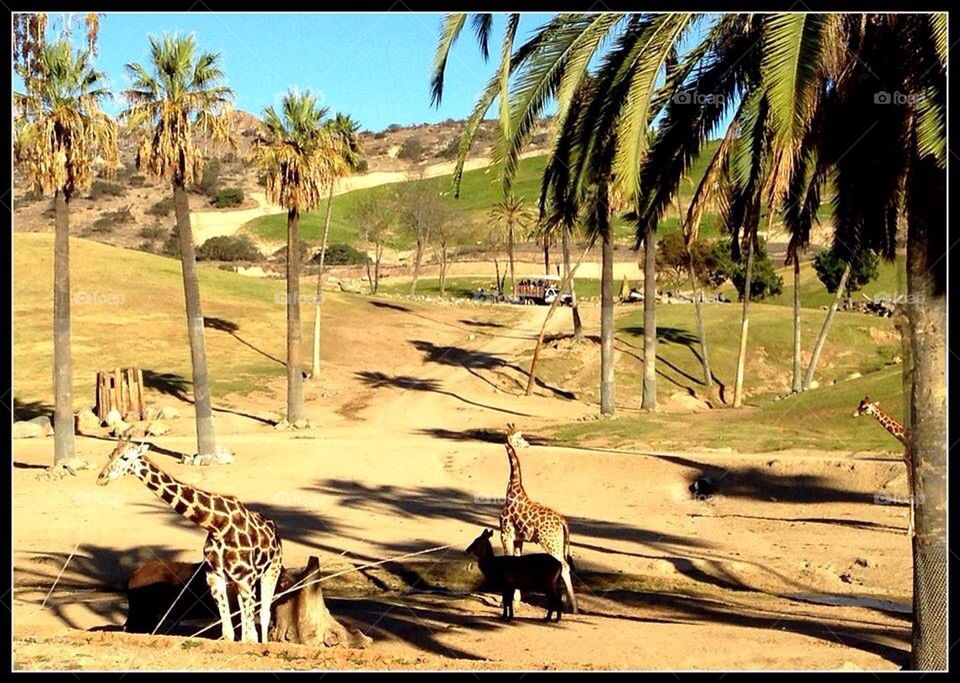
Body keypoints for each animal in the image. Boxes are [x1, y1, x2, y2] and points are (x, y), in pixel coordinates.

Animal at [99, 440, 284, 644]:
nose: (101, 478)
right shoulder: (215, 577)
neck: (216, 524)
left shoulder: (245, 577)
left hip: (271, 569)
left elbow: (249, 635)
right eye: (110, 455)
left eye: (125, 457)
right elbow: (228, 633)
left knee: (264, 614)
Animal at [496, 422, 576, 616]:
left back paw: (572, 607)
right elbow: (515, 562)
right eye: (518, 437)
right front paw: (515, 601)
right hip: (559, 543)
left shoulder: (505, 533)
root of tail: (563, 522)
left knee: (564, 566)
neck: (513, 491)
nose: (527, 444)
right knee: (566, 565)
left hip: (550, 542)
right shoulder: (517, 538)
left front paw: (504, 603)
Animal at [856, 398, 916, 536]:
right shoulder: (908, 464)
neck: (905, 438)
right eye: (860, 404)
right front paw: (911, 529)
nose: (854, 413)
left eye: (865, 407)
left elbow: (912, 495)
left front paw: (910, 531)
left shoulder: (910, 464)